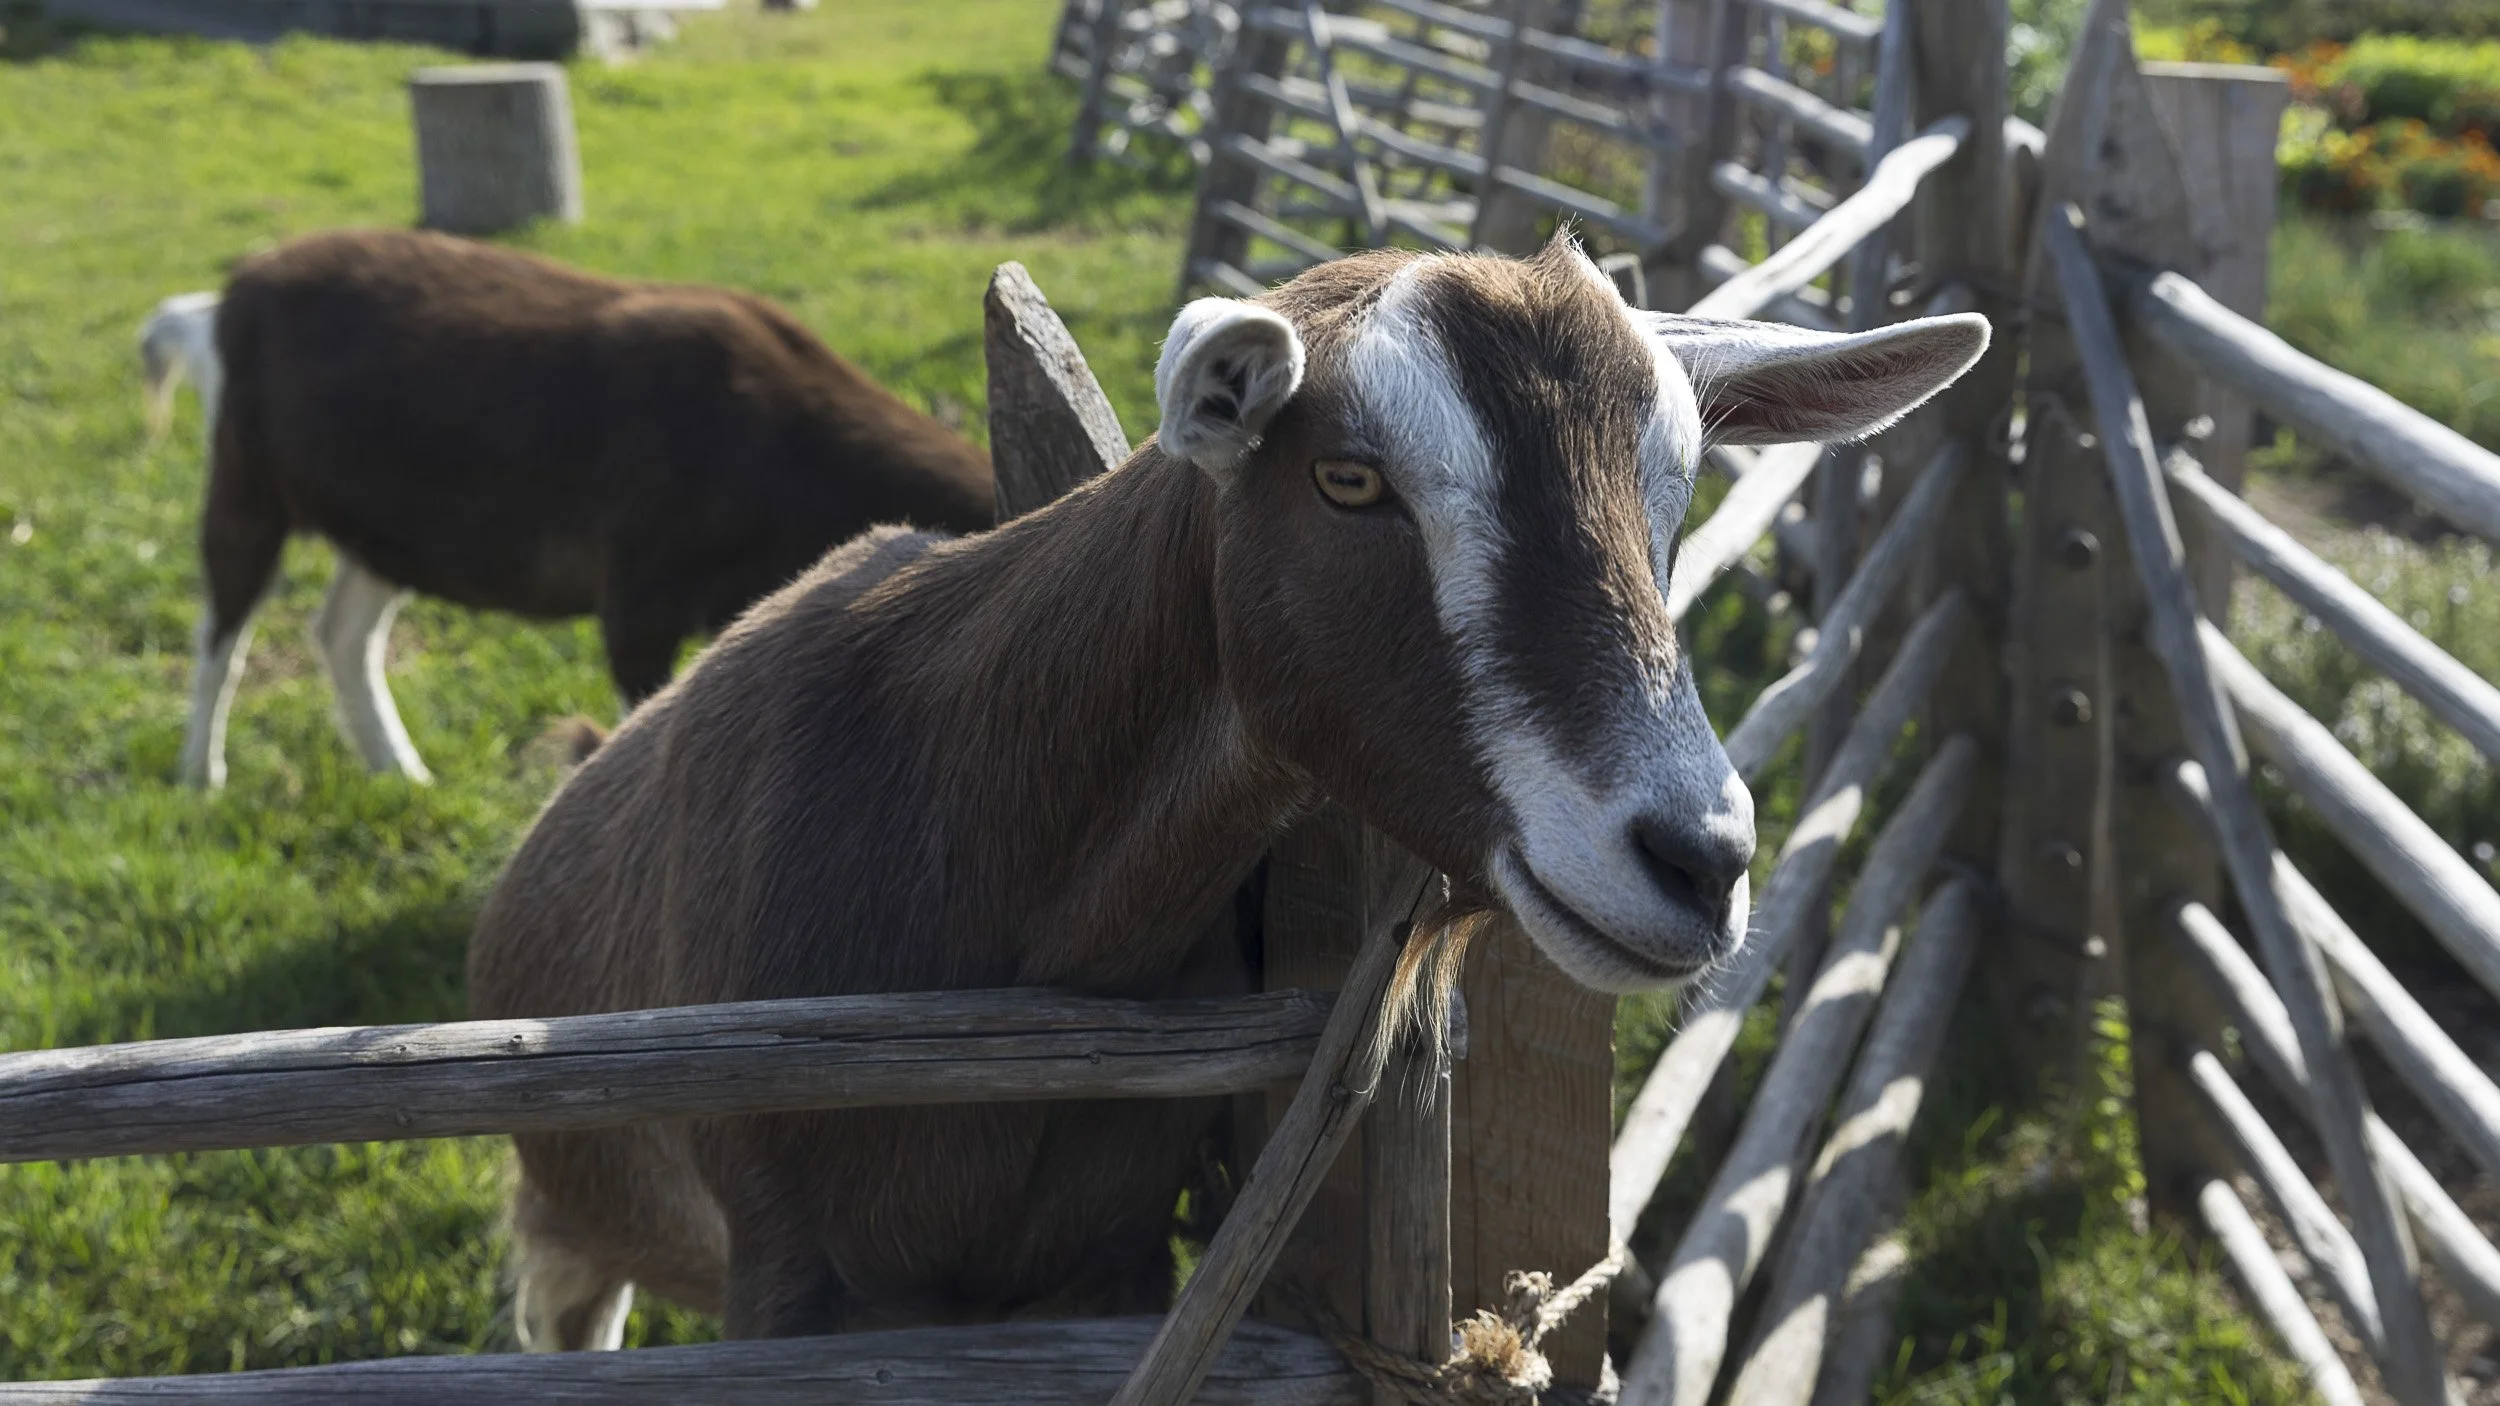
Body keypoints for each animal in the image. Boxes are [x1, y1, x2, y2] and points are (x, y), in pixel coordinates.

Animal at [159, 228, 996, 788]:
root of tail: (234, 289)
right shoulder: (641, 589)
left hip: (379, 524)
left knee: (343, 633)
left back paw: (400, 770)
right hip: (245, 479)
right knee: (222, 628)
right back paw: (202, 776)